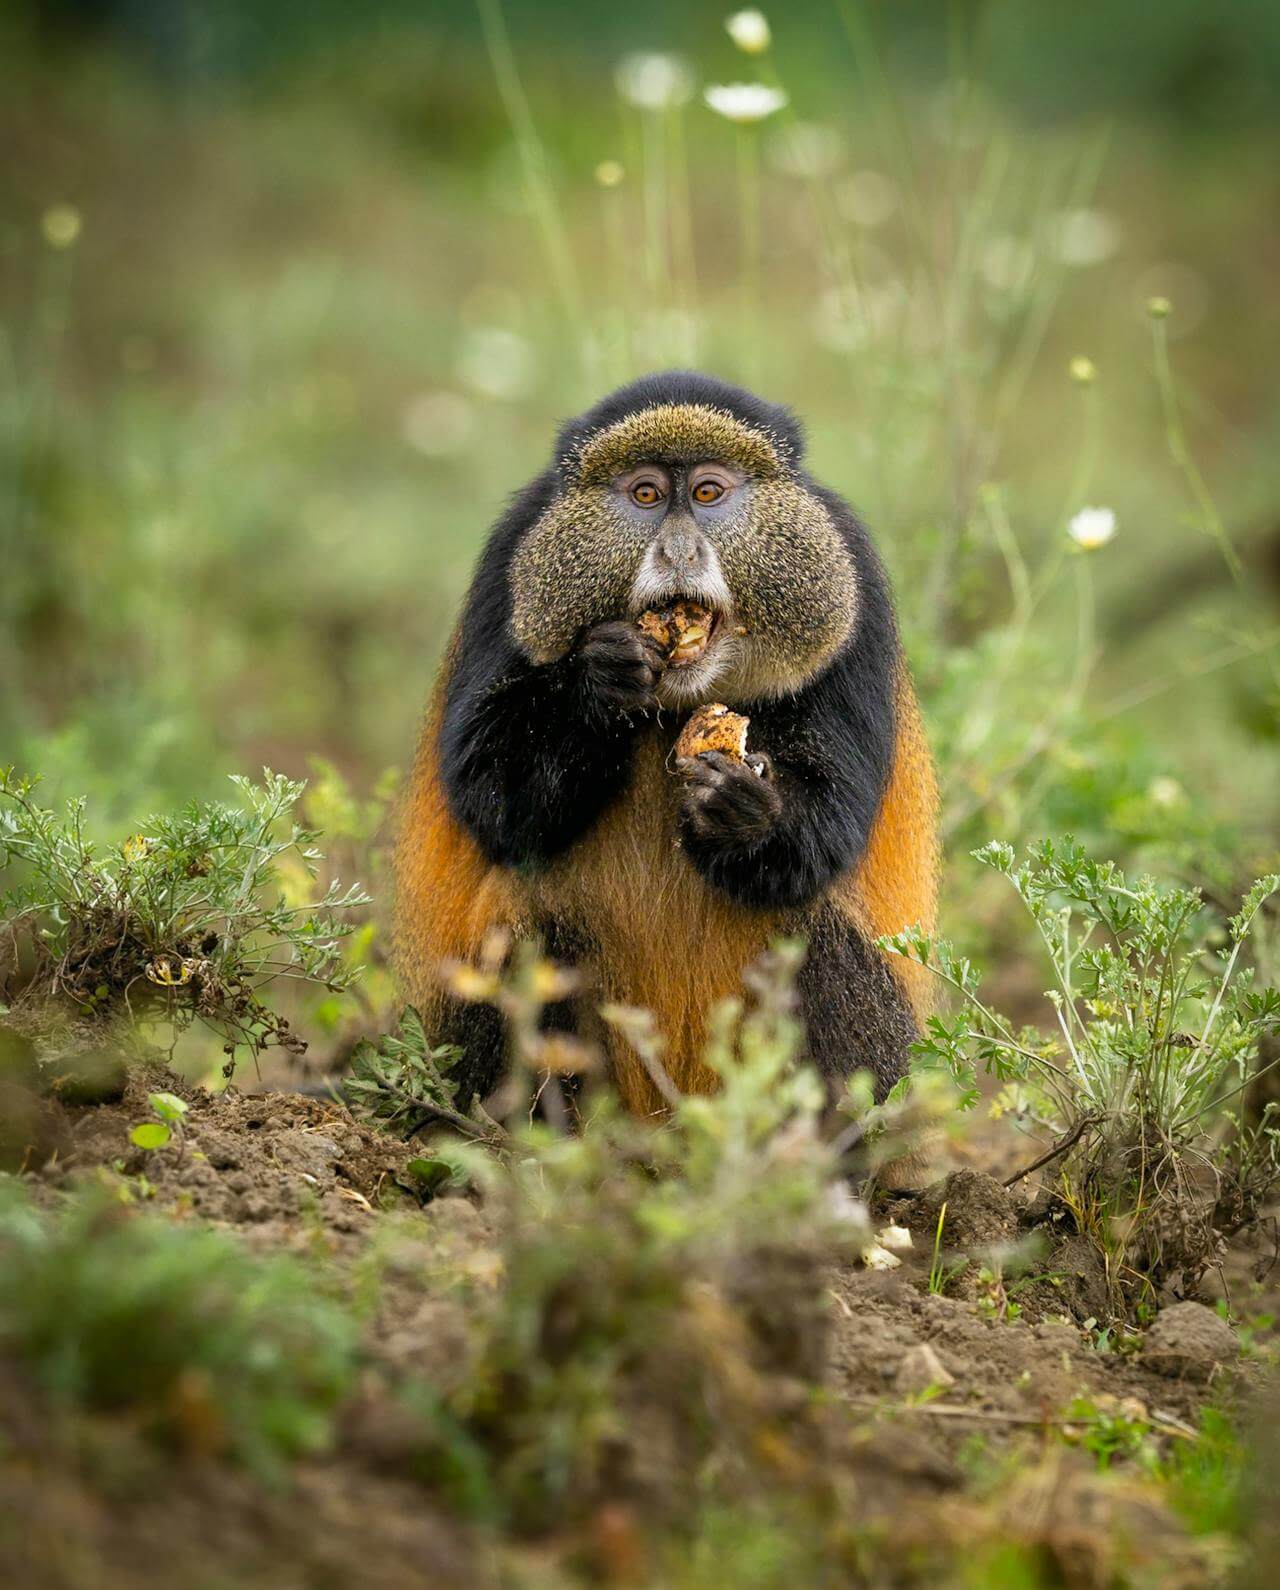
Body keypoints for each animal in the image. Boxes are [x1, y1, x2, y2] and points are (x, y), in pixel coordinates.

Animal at [394, 370, 939, 1118]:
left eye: (707, 493)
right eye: (647, 495)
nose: (678, 552)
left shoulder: (851, 582)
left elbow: (831, 827)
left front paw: (743, 809)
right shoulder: (510, 561)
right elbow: (493, 799)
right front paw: (597, 684)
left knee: (811, 925)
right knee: (527, 911)